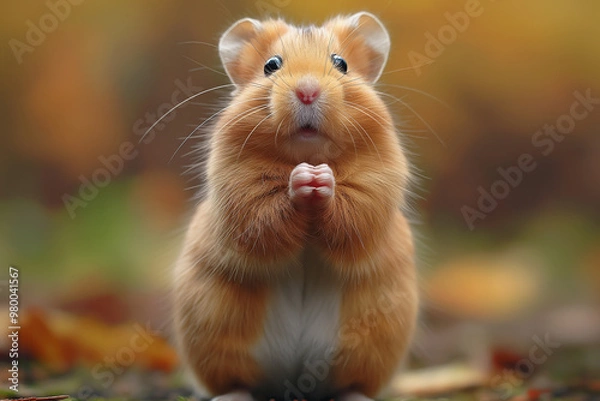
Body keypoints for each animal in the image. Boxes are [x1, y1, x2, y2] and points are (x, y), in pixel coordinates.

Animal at [172, 11, 418, 400]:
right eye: (271, 65)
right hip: (214, 329)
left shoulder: (376, 186)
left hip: (374, 338)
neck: (308, 152)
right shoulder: (239, 190)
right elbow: (267, 208)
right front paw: (303, 179)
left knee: (353, 383)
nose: (307, 91)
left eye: (341, 63)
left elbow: (352, 207)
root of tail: (294, 383)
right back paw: (232, 395)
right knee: (235, 380)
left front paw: (321, 179)